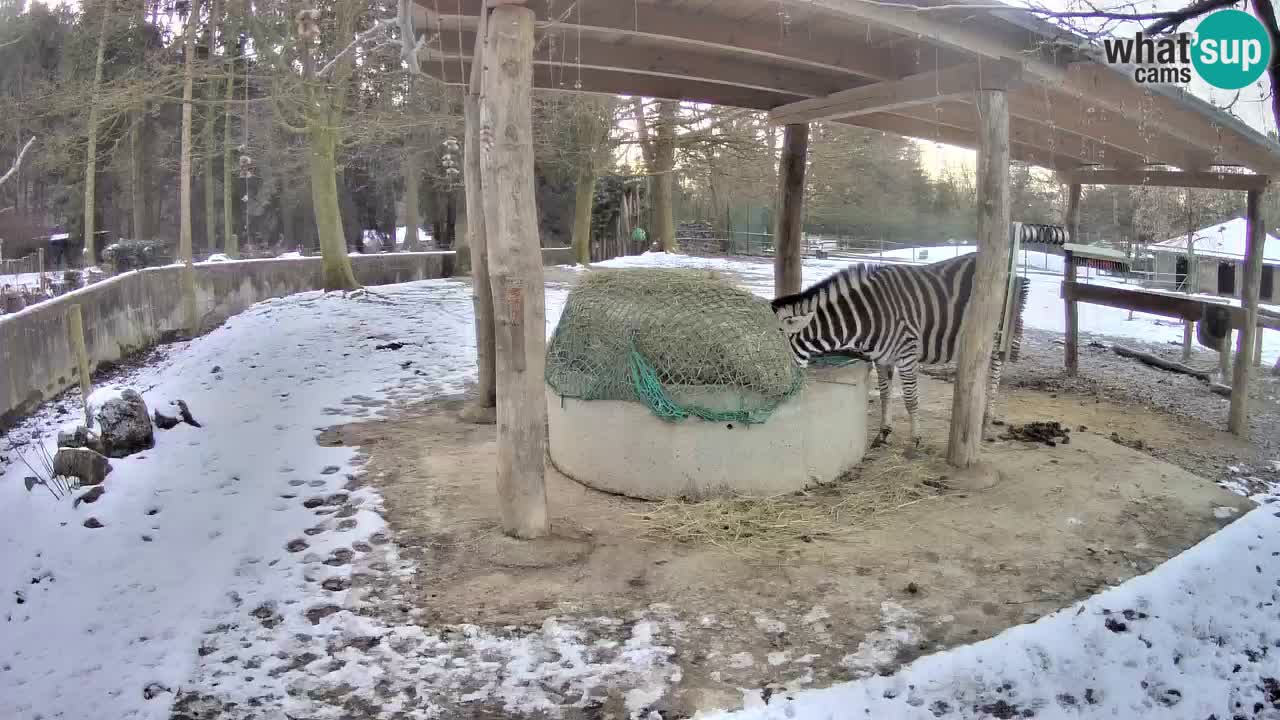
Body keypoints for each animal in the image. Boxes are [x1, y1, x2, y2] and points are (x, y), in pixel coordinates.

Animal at [768, 252, 1029, 448]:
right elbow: (884, 394)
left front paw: (915, 439)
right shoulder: (881, 358)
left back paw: (986, 422)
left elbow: (911, 398)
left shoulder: (906, 354)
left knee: (995, 376)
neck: (867, 316)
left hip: (996, 336)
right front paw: (884, 432)